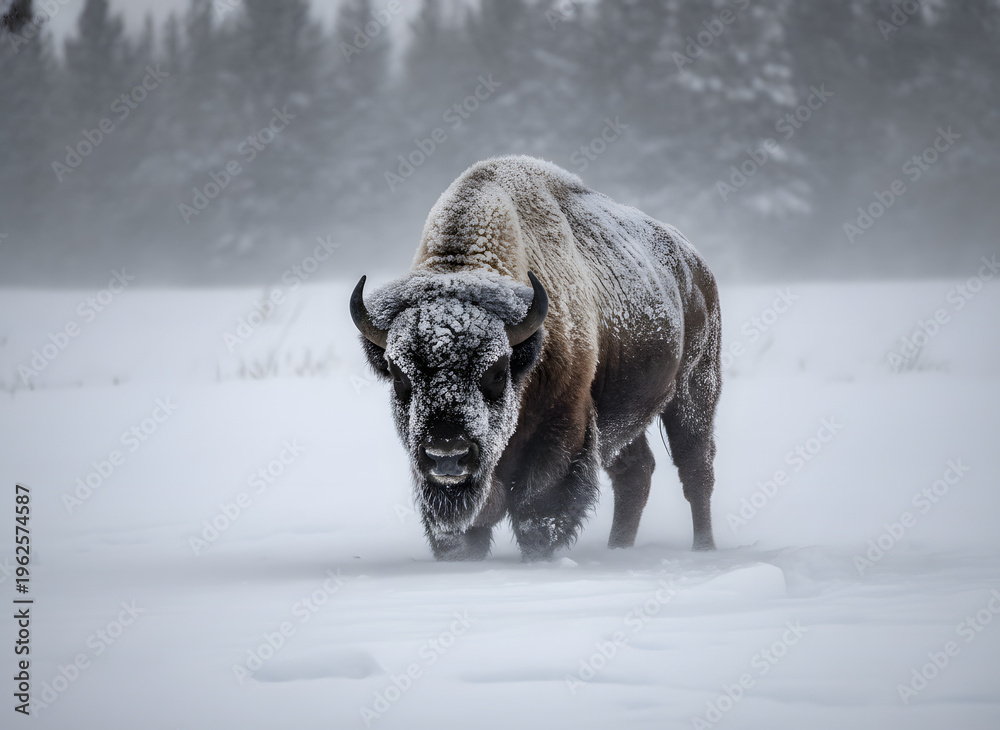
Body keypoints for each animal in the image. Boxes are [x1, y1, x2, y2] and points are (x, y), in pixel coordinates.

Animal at [351, 155, 721, 561]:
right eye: (399, 375)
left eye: (497, 372)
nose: (447, 454)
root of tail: (695, 265)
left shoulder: (563, 427)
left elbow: (537, 510)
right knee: (635, 471)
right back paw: (618, 548)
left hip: (695, 389)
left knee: (695, 467)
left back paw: (703, 549)